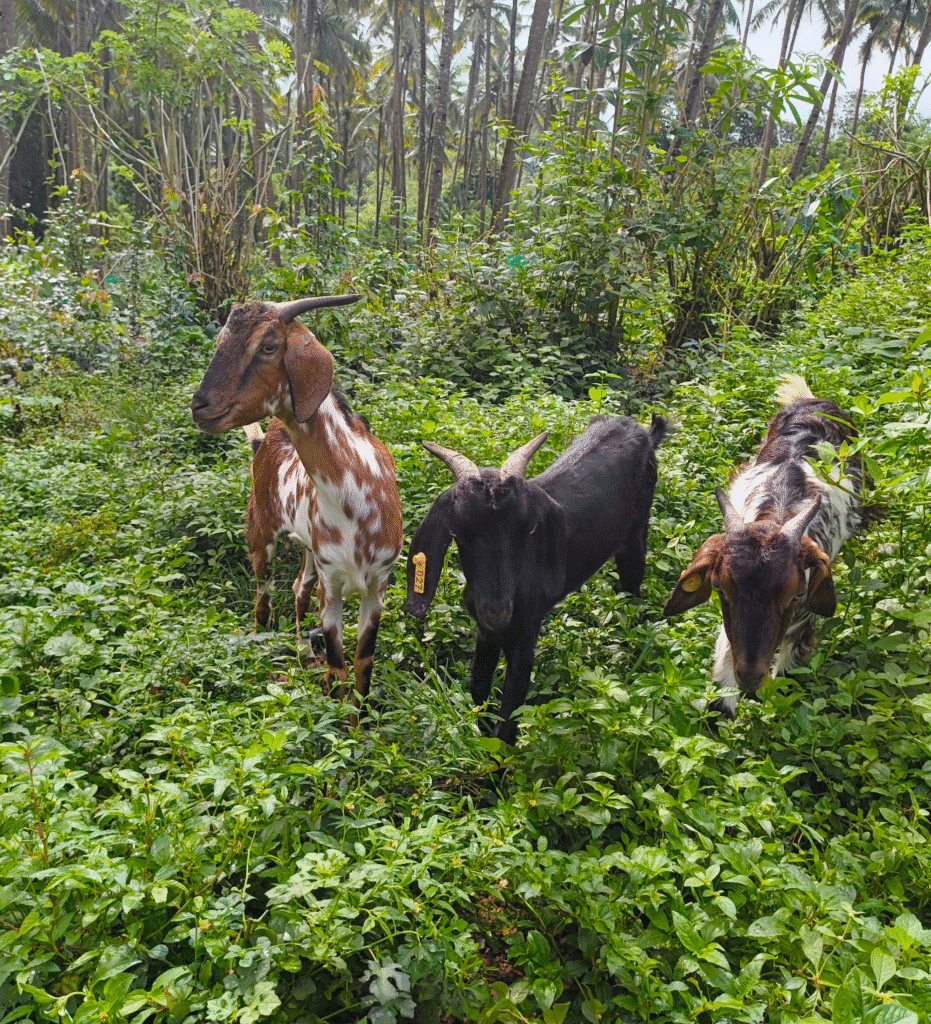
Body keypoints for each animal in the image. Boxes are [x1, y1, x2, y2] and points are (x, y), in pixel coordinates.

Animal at [407, 414, 669, 744]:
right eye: (457, 532)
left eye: (528, 530)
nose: (497, 611)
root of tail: (644, 432)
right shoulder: (486, 631)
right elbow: (479, 690)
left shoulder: (525, 632)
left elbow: (510, 714)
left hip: (635, 536)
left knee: (633, 590)